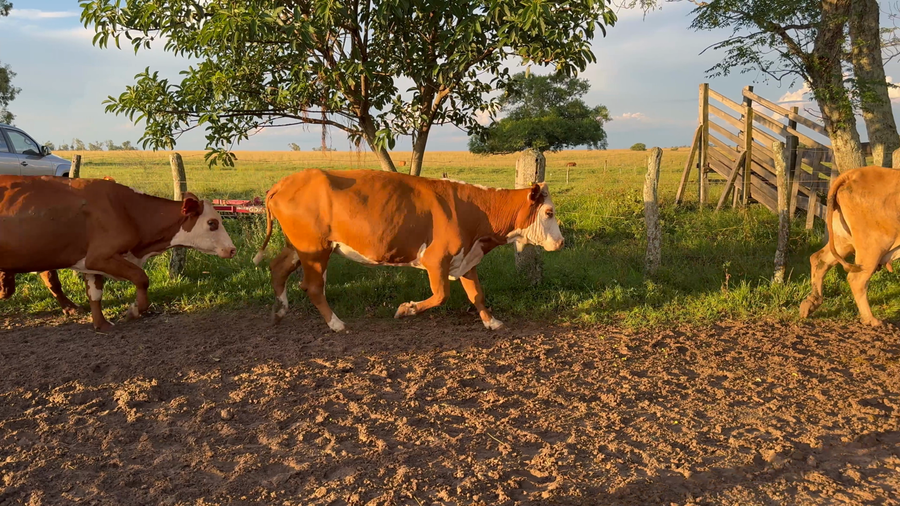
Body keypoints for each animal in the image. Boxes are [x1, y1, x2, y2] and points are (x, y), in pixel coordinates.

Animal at [0, 175, 237, 330]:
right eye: (212, 223)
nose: (232, 249)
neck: (126, 210)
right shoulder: (101, 257)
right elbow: (141, 278)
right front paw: (134, 311)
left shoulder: (92, 264)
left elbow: (95, 294)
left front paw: (102, 325)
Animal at [253, 169, 565, 331]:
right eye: (549, 212)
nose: (561, 242)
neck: (475, 212)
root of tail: (285, 182)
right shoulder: (436, 259)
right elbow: (441, 295)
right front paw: (406, 309)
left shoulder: (466, 258)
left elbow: (477, 293)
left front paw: (491, 322)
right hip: (315, 249)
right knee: (313, 286)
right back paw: (336, 323)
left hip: (299, 246)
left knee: (278, 267)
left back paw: (279, 311)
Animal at [800, 166, 900, 326]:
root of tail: (853, 174)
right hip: (873, 247)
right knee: (857, 279)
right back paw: (870, 319)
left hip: (842, 241)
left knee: (819, 260)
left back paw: (811, 303)